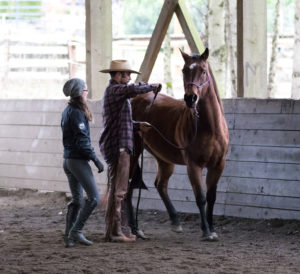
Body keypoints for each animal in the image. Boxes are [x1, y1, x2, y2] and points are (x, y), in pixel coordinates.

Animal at [127, 48, 229, 240]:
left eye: (203, 71)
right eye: (184, 70)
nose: (190, 98)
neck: (209, 128)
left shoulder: (218, 165)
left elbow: (211, 197)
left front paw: (212, 228)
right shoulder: (193, 165)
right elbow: (200, 197)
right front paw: (206, 231)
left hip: (164, 159)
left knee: (160, 184)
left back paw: (175, 221)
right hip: (134, 153)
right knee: (127, 186)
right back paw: (134, 229)